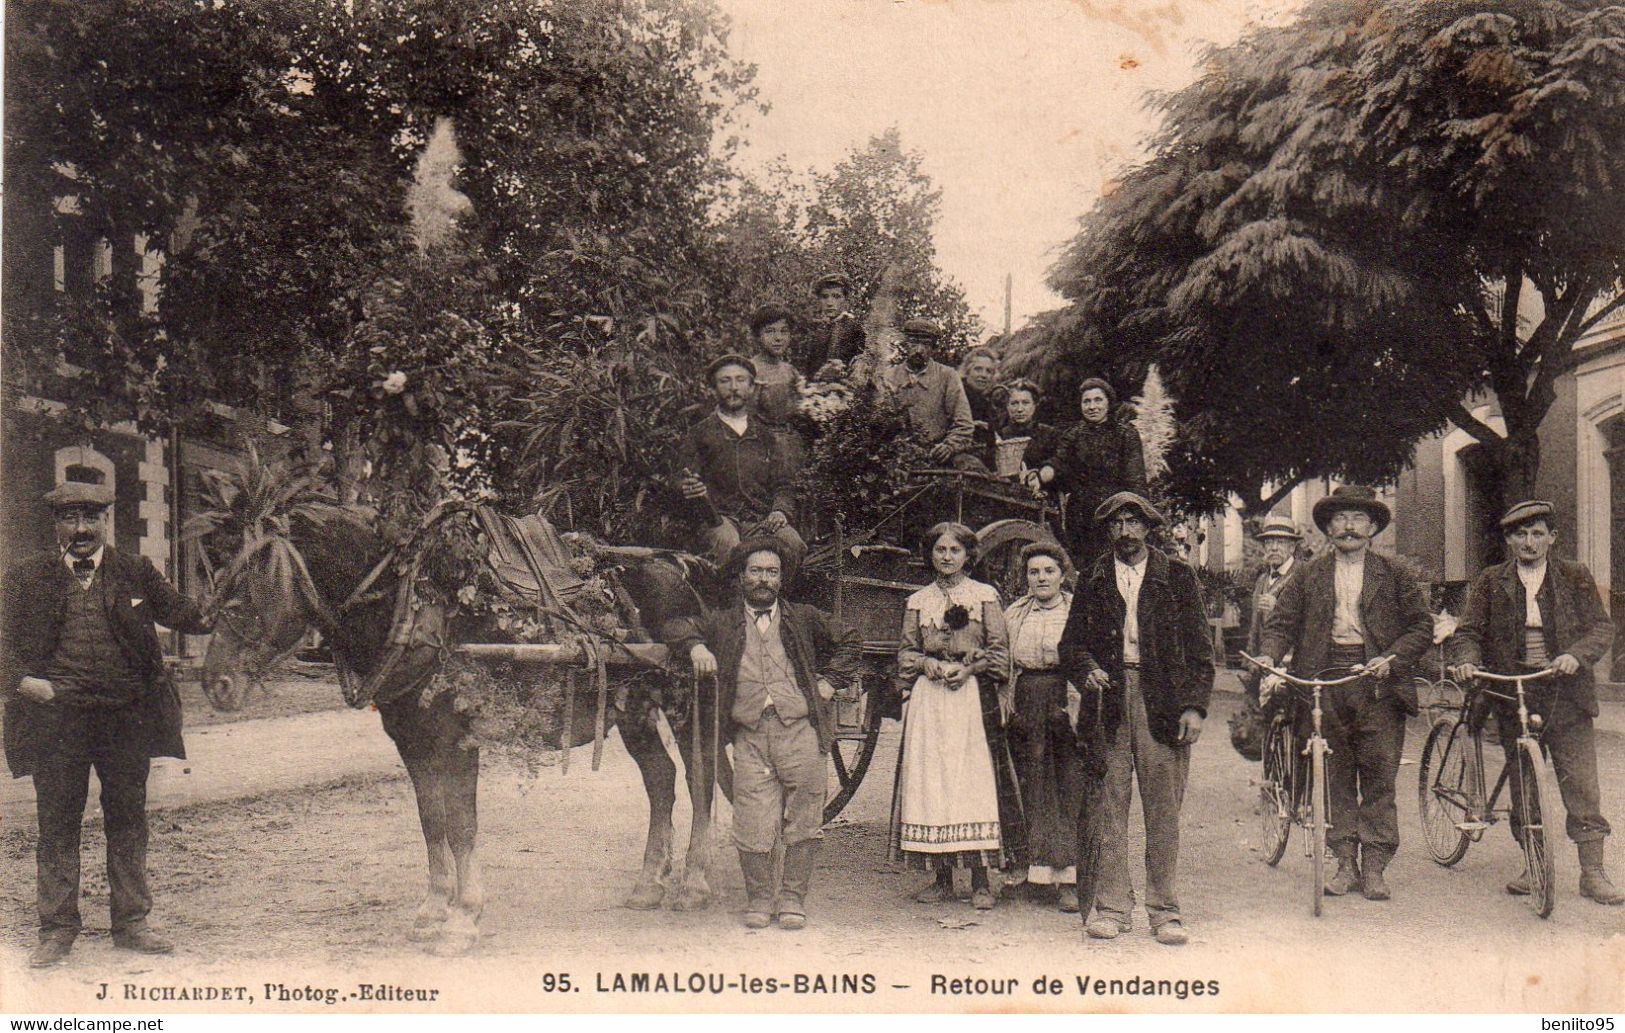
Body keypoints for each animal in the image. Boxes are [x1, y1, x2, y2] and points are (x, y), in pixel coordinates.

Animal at [201, 503, 731, 955]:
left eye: (249, 593)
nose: (214, 683)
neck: (417, 610)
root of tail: (678, 568)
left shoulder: (458, 743)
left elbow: (461, 826)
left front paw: (463, 918)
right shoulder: (413, 745)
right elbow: (431, 822)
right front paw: (434, 909)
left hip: (686, 701)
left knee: (700, 779)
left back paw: (695, 882)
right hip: (630, 707)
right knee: (661, 780)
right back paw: (649, 883)